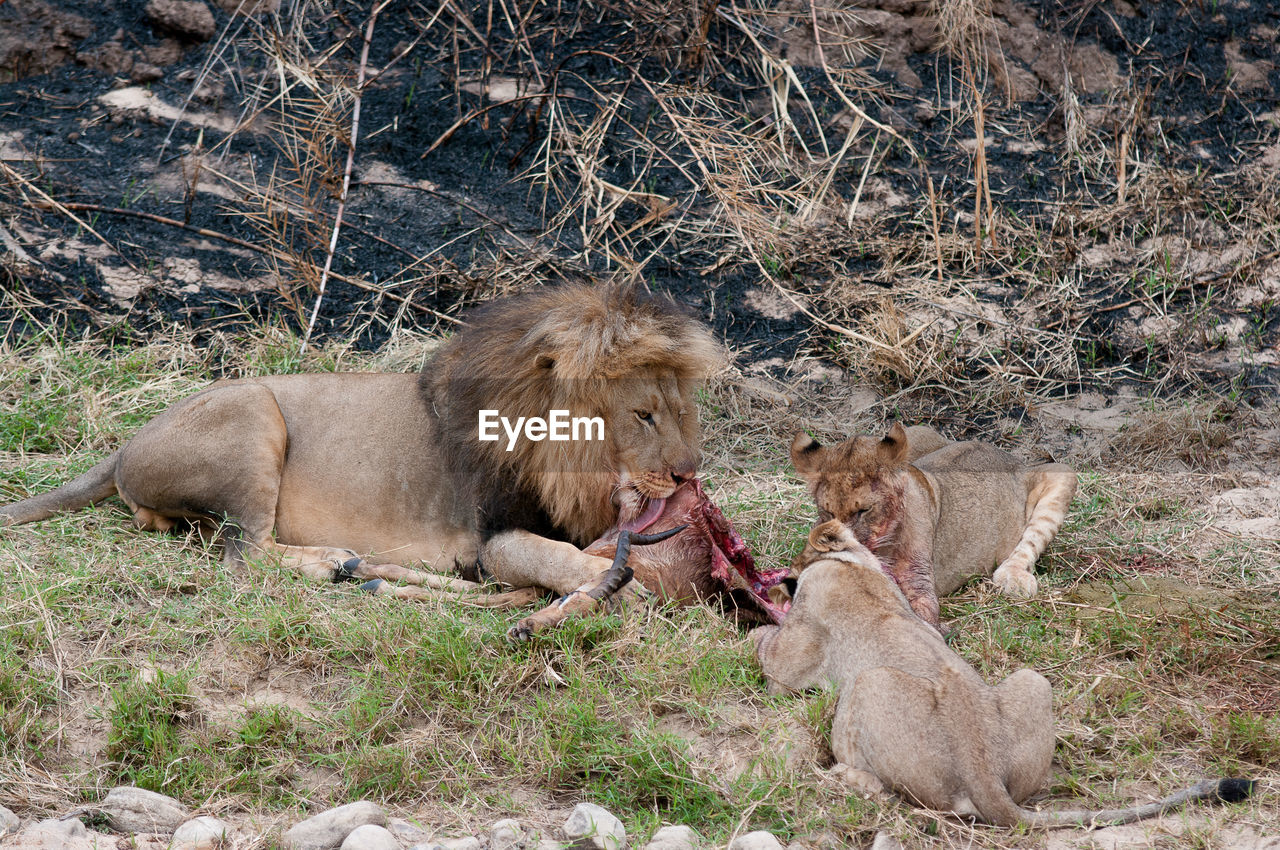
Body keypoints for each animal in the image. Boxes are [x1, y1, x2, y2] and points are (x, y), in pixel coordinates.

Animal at [2, 285, 778, 637]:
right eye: (643, 415)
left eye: (683, 411)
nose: (688, 474)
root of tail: (125, 446)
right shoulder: (491, 535)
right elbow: (552, 558)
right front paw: (614, 587)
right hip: (255, 415)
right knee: (242, 556)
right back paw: (332, 562)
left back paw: (362, 569)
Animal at [752, 522, 1254, 824]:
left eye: (795, 563)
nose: (781, 576)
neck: (850, 566)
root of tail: (984, 776)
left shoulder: (794, 652)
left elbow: (769, 659)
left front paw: (754, 626)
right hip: (1032, 680)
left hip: (871, 683)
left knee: (908, 797)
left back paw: (845, 777)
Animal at [793, 425, 1075, 629]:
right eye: (828, 511)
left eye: (863, 510)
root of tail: (1011, 457)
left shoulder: (921, 590)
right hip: (916, 430)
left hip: (1062, 471)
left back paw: (1013, 578)